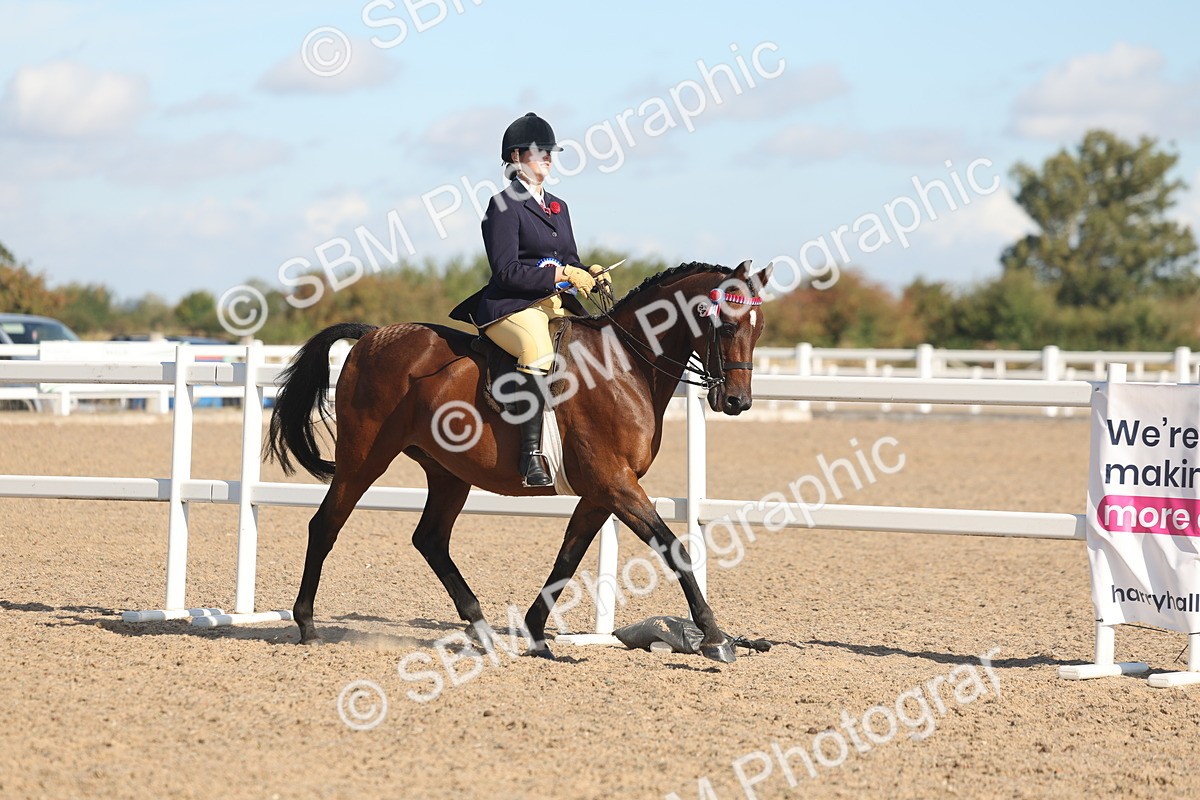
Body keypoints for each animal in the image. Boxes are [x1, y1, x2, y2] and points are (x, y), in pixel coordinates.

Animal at [266, 259, 772, 662]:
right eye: (727, 325)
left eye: (759, 327)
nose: (737, 401)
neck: (627, 365)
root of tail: (373, 335)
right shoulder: (616, 483)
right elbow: (673, 548)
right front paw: (714, 637)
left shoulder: (601, 492)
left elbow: (568, 557)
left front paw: (535, 635)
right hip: (364, 459)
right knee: (326, 525)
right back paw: (307, 625)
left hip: (448, 473)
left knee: (430, 539)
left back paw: (482, 630)